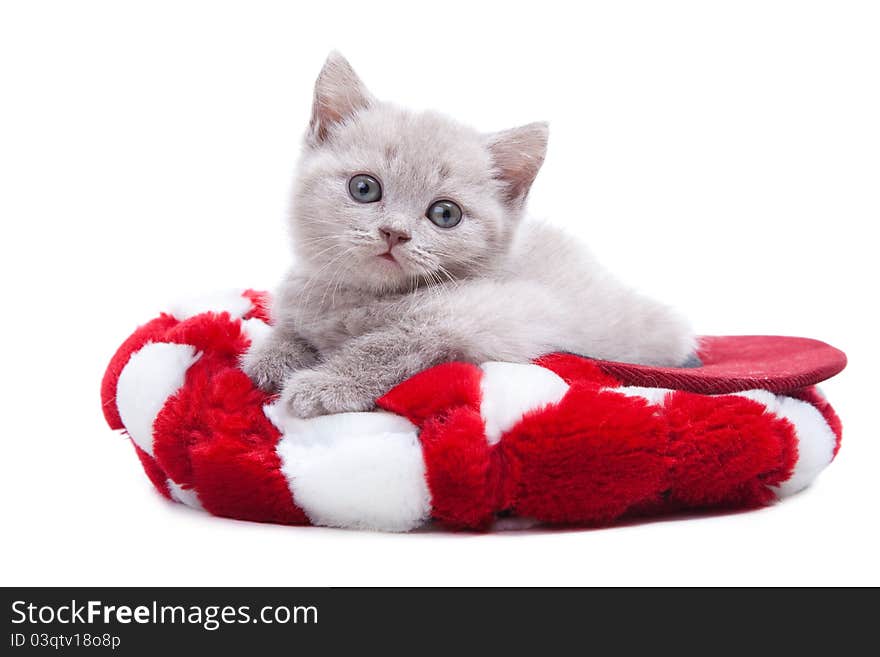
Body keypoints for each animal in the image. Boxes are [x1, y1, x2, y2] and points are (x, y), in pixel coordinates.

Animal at [242, 53, 696, 418]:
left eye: (445, 214)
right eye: (364, 188)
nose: (395, 233)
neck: (366, 298)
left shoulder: (500, 315)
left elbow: (391, 342)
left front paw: (326, 384)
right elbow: (290, 327)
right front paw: (271, 357)